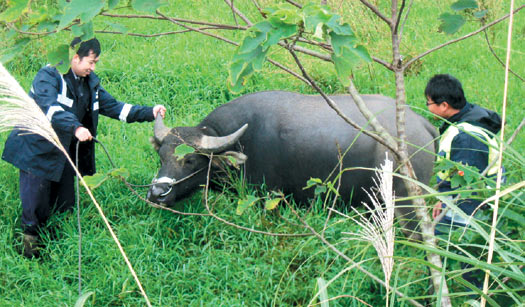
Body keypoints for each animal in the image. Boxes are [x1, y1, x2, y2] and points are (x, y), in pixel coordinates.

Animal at [147, 91, 438, 236]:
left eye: (190, 160)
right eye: (161, 156)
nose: (156, 194)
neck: (241, 142)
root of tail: (422, 125)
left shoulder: (268, 198)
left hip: (407, 205)